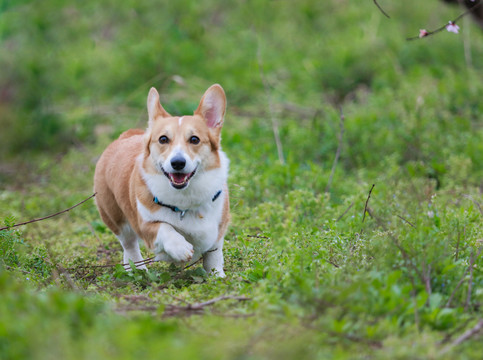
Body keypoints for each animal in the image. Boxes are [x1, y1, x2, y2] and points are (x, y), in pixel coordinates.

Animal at [95, 86, 232, 278]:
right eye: (163, 139)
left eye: (194, 139)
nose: (178, 163)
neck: (184, 199)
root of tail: (125, 135)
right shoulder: (145, 225)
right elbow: (164, 227)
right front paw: (180, 248)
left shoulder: (219, 229)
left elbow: (214, 255)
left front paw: (216, 276)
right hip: (115, 218)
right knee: (129, 245)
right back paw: (138, 270)